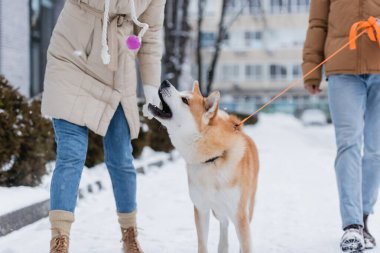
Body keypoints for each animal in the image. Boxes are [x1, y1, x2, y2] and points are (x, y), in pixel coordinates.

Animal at [148, 80, 258, 252]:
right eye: (182, 93)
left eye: (185, 100)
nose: (165, 82)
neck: (212, 160)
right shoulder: (201, 209)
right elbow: (202, 244)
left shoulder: (240, 215)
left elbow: (245, 245)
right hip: (218, 210)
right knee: (224, 223)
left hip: (247, 207)